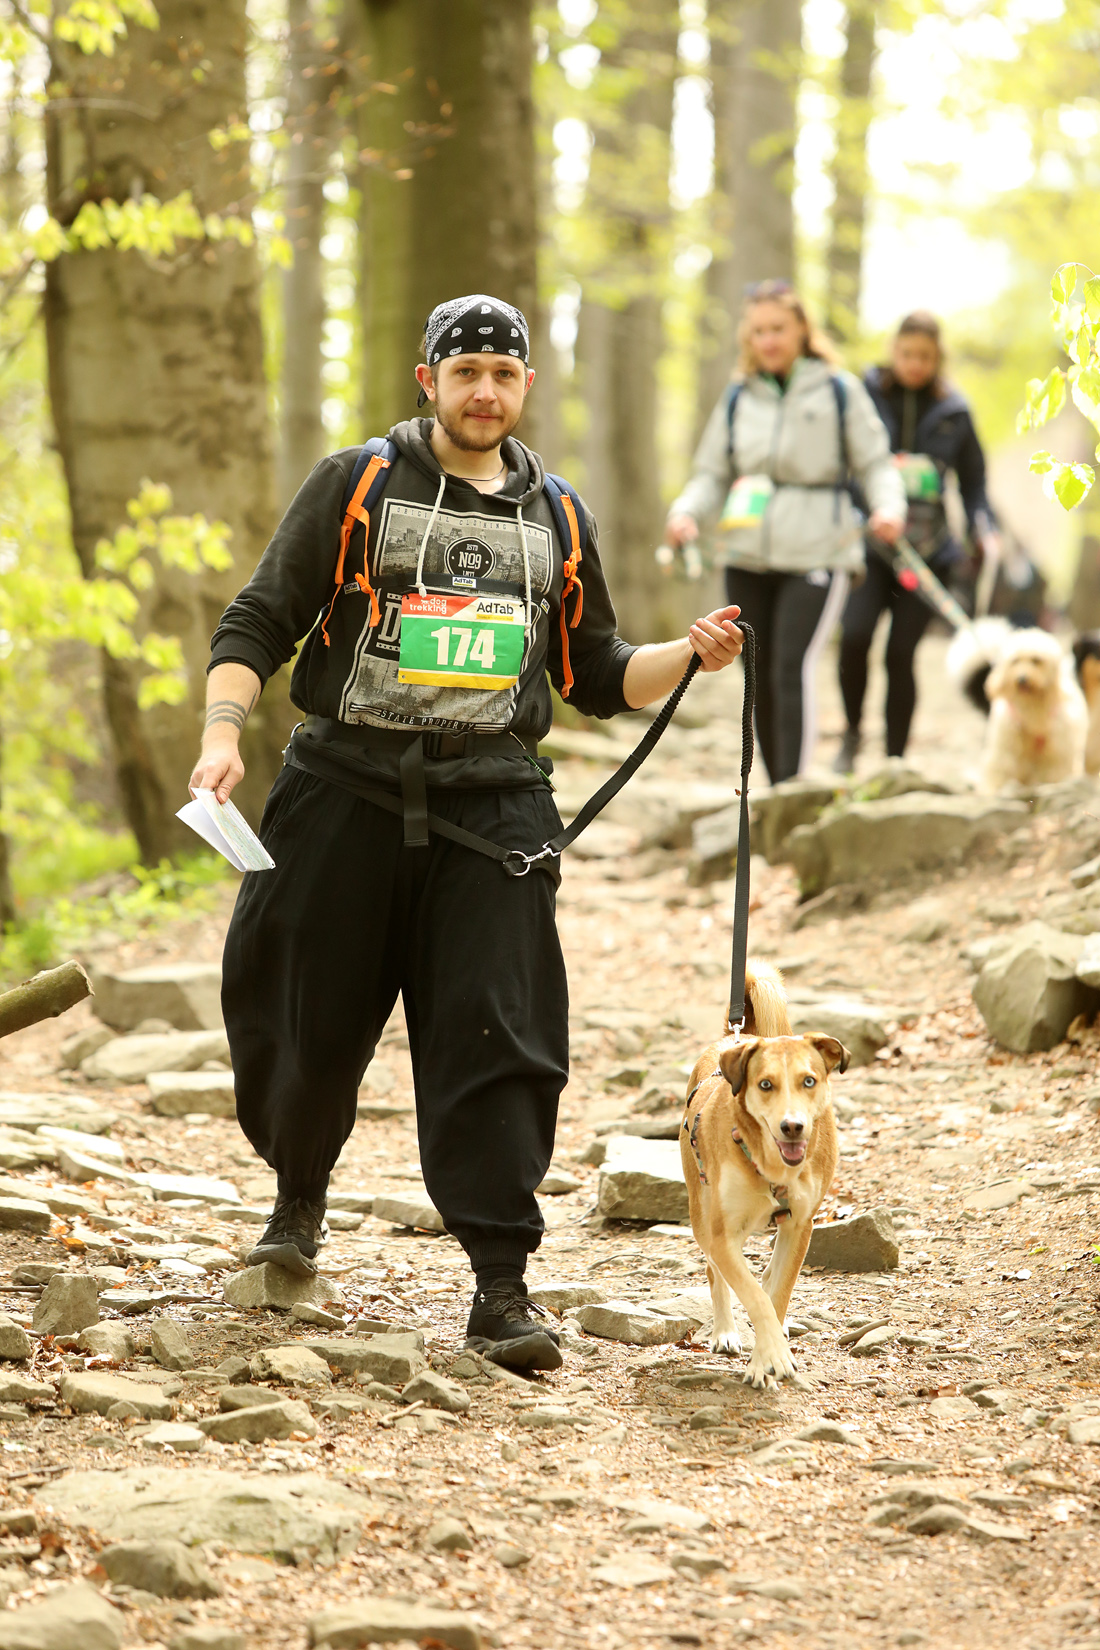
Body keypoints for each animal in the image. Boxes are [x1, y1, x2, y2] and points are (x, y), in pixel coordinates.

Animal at [680, 962, 846, 1389]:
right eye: (765, 1084)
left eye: (809, 1080)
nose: (793, 1127)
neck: (771, 1165)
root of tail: (735, 1037)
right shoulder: (723, 1235)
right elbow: (752, 1294)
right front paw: (770, 1358)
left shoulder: (801, 1225)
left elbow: (777, 1293)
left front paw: (767, 1356)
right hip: (701, 1213)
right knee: (716, 1272)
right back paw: (725, 1331)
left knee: (769, 1275)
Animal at [948, 620, 1087, 790]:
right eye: (1015, 661)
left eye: (1036, 660)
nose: (1022, 679)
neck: (1031, 706)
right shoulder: (1006, 746)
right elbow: (1001, 768)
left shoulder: (1057, 750)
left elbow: (1054, 771)